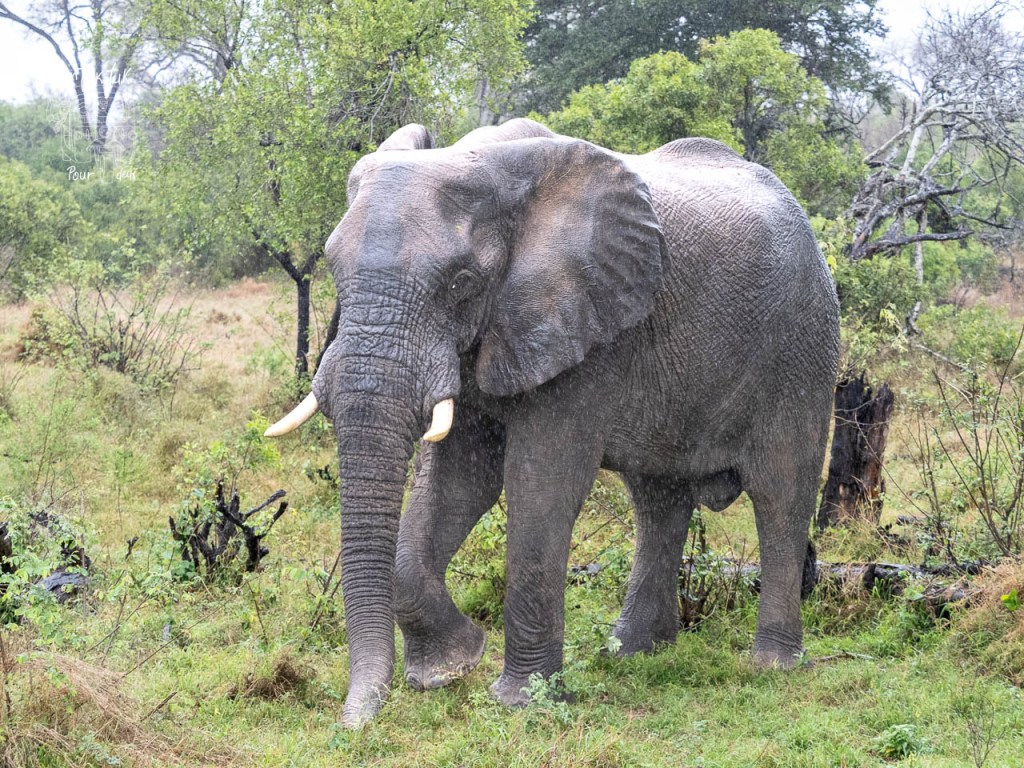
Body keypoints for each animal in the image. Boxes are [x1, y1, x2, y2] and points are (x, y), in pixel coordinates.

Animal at [266, 118, 840, 727]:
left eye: (460, 283)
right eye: (333, 270)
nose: (354, 724)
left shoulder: (582, 325)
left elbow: (541, 481)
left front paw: (519, 701)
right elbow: (458, 480)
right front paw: (449, 670)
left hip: (804, 345)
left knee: (781, 494)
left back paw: (772, 665)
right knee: (657, 499)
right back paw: (631, 652)